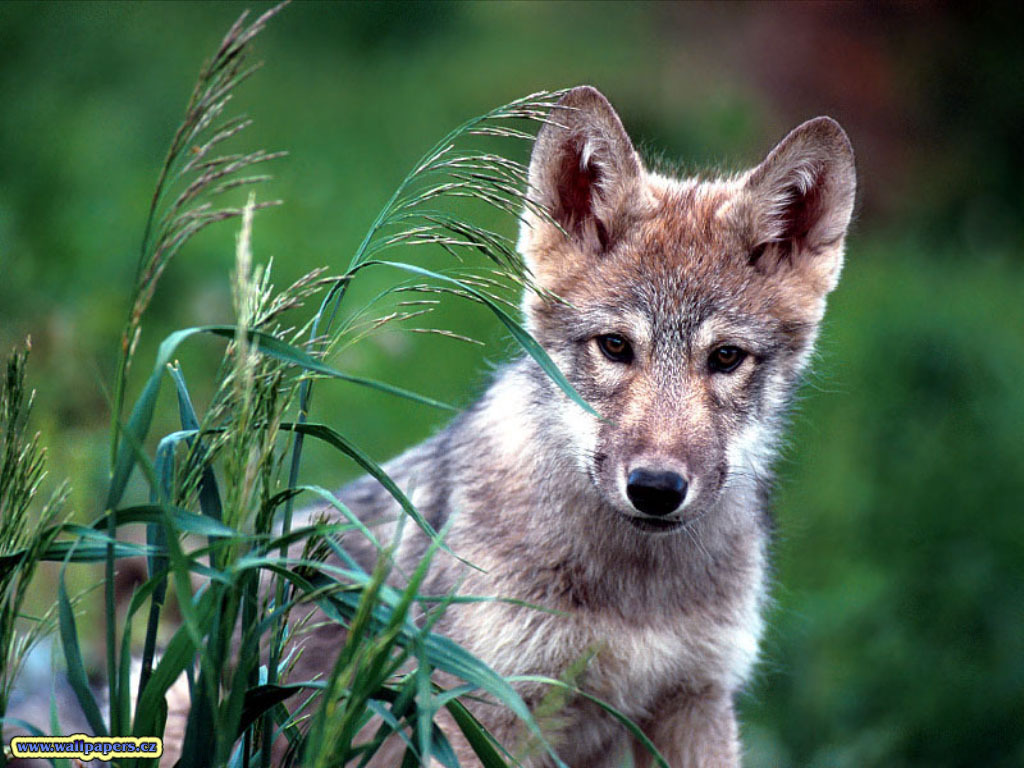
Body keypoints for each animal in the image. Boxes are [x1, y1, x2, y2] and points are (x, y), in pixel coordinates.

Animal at [296, 85, 856, 768]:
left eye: (725, 358)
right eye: (615, 347)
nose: (656, 490)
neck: (636, 594)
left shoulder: (696, 701)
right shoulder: (484, 712)